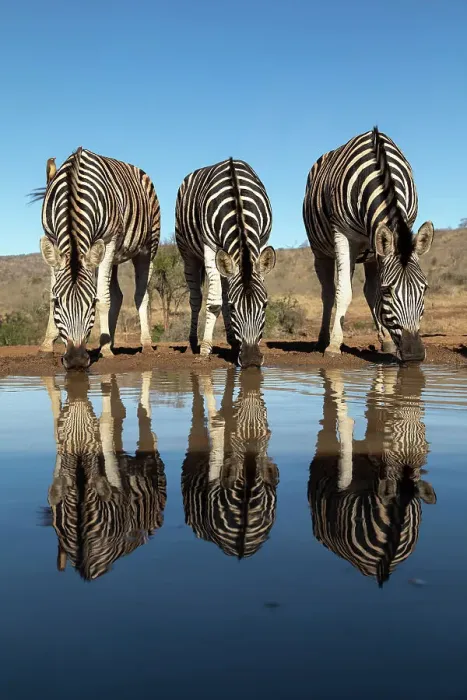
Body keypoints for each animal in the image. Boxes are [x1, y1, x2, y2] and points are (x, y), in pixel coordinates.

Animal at [32, 148, 160, 369]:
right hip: (114, 256)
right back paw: (109, 340)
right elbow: (51, 293)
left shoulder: (109, 241)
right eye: (58, 304)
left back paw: (144, 344)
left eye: (91, 303)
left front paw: (106, 351)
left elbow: (103, 298)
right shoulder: (53, 240)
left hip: (147, 248)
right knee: (117, 295)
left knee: (141, 295)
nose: (76, 360)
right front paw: (47, 345)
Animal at [175, 158, 276, 368]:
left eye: (265, 305)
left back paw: (233, 342)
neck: (237, 203)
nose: (252, 360)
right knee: (196, 298)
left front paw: (235, 344)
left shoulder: (262, 240)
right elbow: (214, 303)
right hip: (187, 252)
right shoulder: (210, 246)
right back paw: (193, 343)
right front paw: (205, 350)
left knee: (223, 289)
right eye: (233, 307)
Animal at [303, 127, 434, 361]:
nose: (415, 355)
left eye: (424, 288)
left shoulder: (403, 229)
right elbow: (343, 291)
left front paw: (387, 340)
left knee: (368, 290)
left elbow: (372, 293)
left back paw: (387, 340)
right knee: (328, 292)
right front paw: (334, 345)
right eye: (388, 292)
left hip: (372, 251)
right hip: (321, 251)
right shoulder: (342, 234)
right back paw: (322, 340)